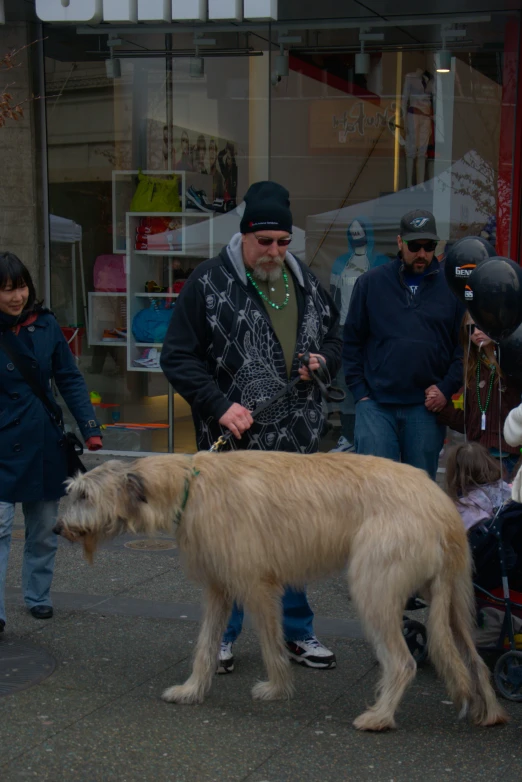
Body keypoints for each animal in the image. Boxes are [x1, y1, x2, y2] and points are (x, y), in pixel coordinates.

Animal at [52, 456, 504, 732]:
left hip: (375, 589)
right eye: (72, 490)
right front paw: (192, 689)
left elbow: (272, 643)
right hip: (454, 599)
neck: (188, 484)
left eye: (84, 494)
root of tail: (441, 505)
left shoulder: (257, 586)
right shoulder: (218, 587)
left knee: (405, 661)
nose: (57, 529)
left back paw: (379, 716)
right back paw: (491, 712)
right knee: (474, 659)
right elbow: (205, 645)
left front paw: (276, 689)